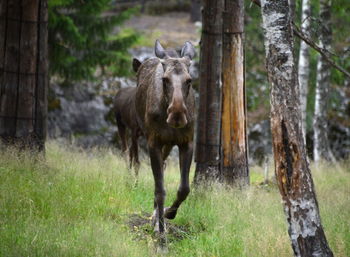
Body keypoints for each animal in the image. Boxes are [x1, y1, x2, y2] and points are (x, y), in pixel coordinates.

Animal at [134, 40, 196, 238]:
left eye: (189, 80)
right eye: (164, 79)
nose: (177, 115)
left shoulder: (187, 142)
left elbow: (184, 188)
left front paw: (170, 213)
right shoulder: (154, 142)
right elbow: (160, 189)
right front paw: (160, 231)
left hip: (168, 145)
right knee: (158, 177)